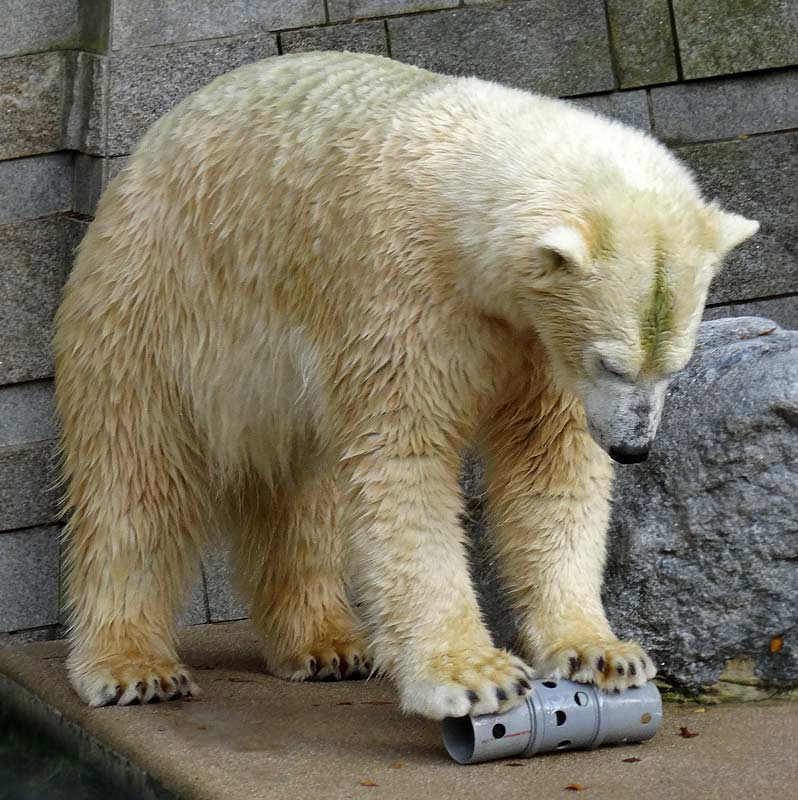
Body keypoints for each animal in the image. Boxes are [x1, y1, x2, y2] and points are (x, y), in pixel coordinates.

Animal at [51, 51, 764, 720]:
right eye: (611, 363)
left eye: (674, 366)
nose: (634, 449)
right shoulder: (402, 293)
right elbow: (403, 459)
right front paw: (475, 676)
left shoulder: (537, 341)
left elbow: (549, 464)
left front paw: (603, 651)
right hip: (155, 305)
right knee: (136, 474)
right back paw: (133, 667)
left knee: (301, 489)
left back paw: (327, 645)